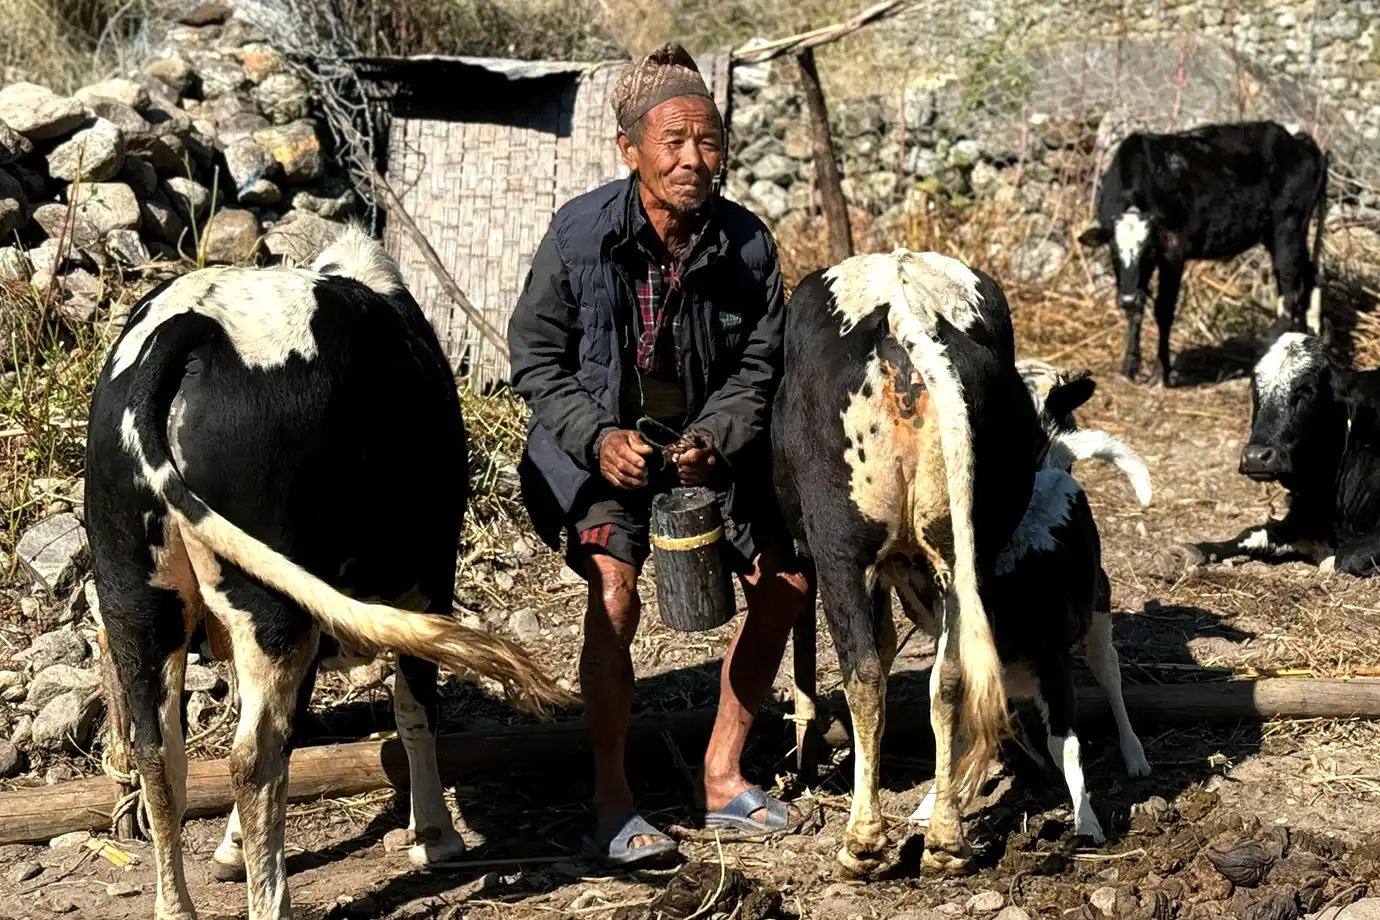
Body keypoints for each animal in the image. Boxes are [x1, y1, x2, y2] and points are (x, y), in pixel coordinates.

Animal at [85, 226, 571, 920]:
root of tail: (189, 326)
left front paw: (231, 848)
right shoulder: (430, 579)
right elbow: (413, 706)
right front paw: (436, 835)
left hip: (136, 598)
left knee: (160, 758)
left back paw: (176, 905)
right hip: (276, 607)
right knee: (253, 756)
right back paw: (274, 902)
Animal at [773, 248, 1043, 875]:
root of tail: (903, 307)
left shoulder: (813, 551)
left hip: (840, 548)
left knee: (864, 676)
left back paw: (862, 844)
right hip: (963, 551)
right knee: (950, 677)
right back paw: (945, 839)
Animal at [911, 363, 1153, 843]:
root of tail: (1052, 468)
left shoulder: (1054, 670)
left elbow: (1066, 746)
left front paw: (1087, 821)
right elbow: (953, 737)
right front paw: (931, 806)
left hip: (1098, 612)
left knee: (1112, 680)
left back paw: (1135, 755)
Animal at [1079, 121, 1328, 387]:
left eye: (1149, 252)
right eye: (1113, 252)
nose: (1126, 298)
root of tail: (1298, 139)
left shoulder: (1173, 253)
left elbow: (1163, 310)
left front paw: (1160, 374)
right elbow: (1136, 312)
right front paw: (1129, 368)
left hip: (1287, 229)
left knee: (1290, 290)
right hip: (1279, 234)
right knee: (1309, 277)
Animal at [1183, 331, 1380, 576]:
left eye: (1306, 390)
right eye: (1256, 391)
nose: (1256, 457)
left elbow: (1347, 556)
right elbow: (1255, 532)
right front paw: (1201, 548)